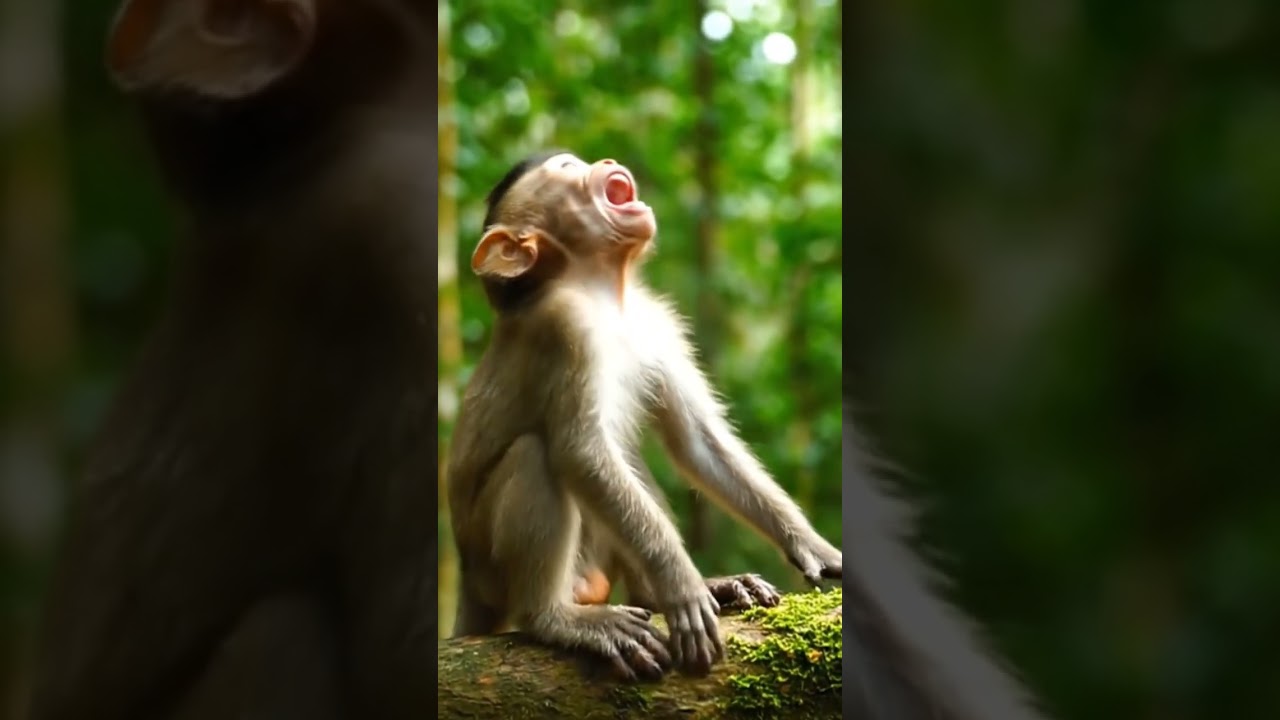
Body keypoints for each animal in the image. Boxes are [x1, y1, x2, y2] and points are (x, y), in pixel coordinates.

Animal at [445, 150, 843, 682]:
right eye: (567, 169)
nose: (605, 160)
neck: (603, 292)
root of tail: (467, 579)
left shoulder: (659, 322)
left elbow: (697, 444)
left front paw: (814, 547)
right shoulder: (564, 327)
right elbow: (581, 452)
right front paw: (683, 589)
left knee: (626, 461)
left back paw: (673, 593)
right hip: (493, 569)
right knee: (537, 455)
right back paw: (555, 619)